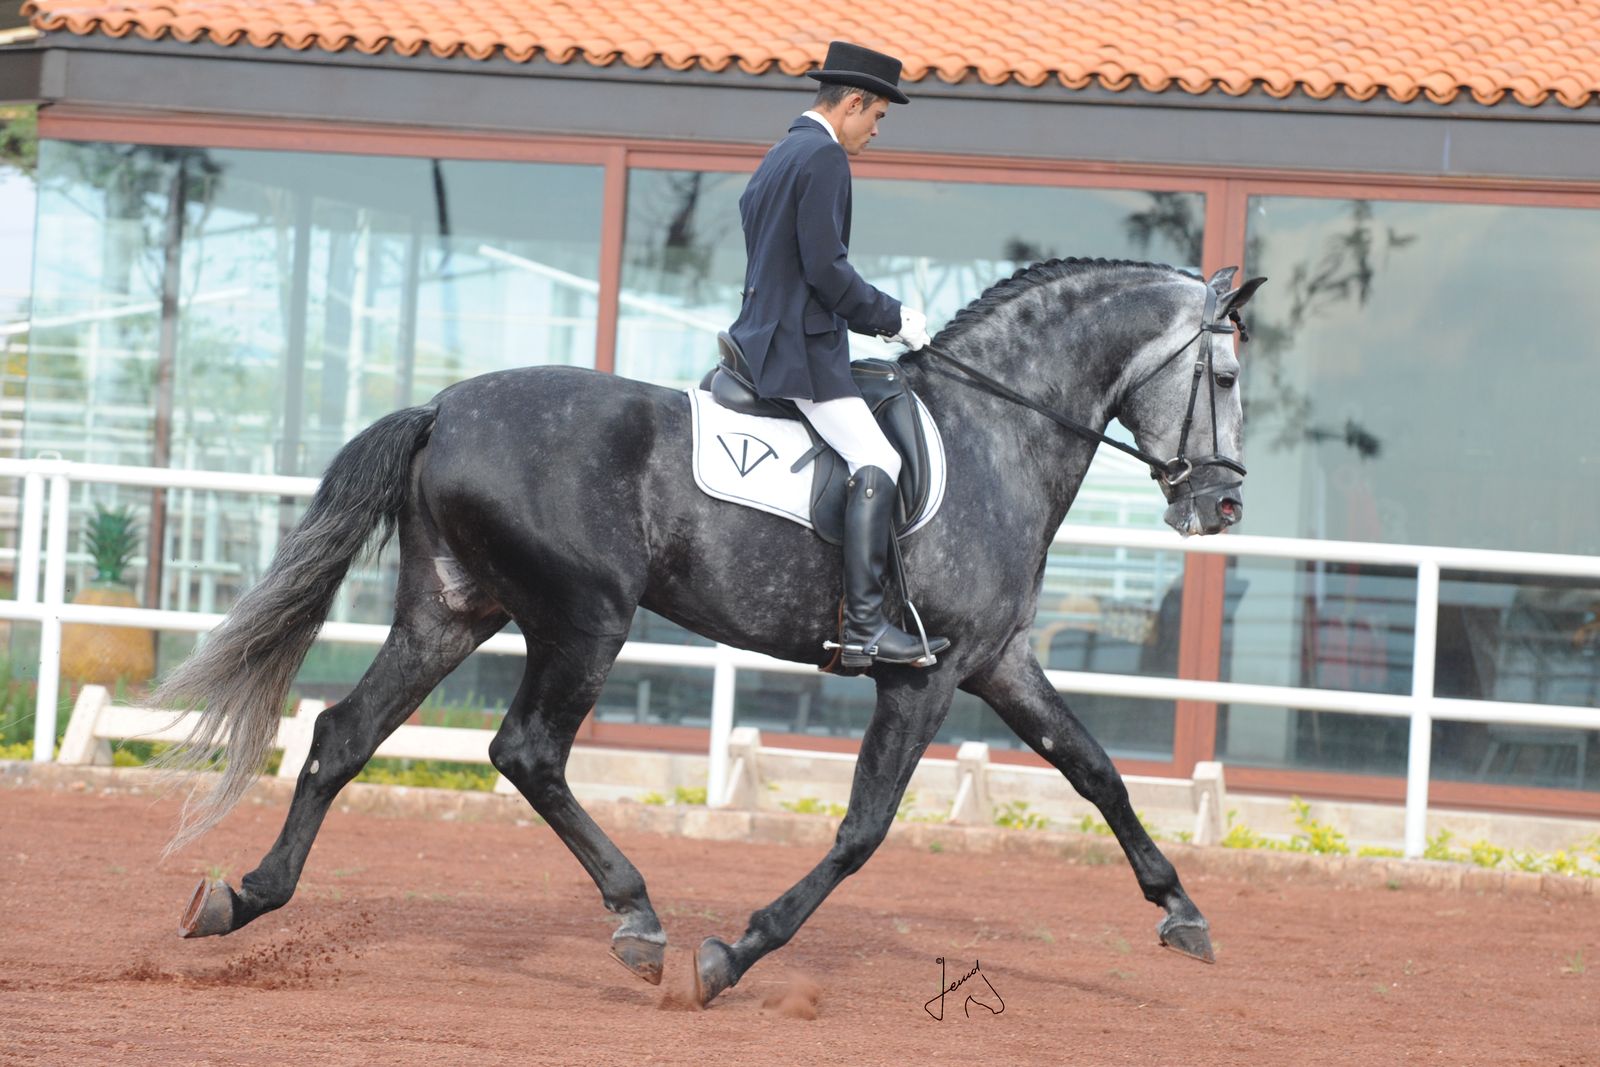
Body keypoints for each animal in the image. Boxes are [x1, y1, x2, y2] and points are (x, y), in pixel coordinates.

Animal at [157, 257, 1263, 1008]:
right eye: (1227, 379)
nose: (1220, 505)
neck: (999, 431)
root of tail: (445, 407)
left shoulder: (999, 661)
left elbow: (1097, 771)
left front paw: (1182, 909)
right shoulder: (925, 675)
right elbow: (863, 829)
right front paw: (733, 952)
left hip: (452, 609)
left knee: (344, 735)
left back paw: (243, 897)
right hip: (585, 616)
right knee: (527, 750)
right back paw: (639, 918)